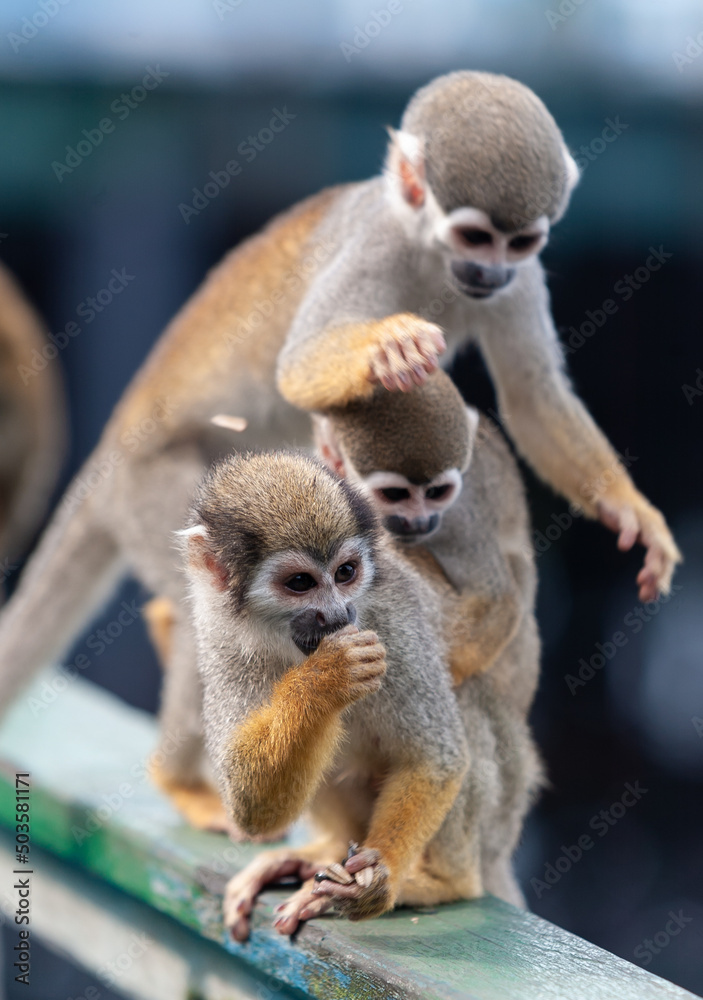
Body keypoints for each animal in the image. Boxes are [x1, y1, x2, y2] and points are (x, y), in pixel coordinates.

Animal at [0, 70, 678, 820]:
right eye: (474, 235)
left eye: (517, 242)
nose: (491, 272)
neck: (427, 248)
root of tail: (116, 441)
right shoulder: (374, 244)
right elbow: (297, 364)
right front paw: (388, 343)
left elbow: (532, 396)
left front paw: (628, 510)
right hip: (151, 488)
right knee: (202, 600)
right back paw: (180, 772)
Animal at [182, 450, 541, 939]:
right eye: (300, 582)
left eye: (346, 573)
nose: (337, 614)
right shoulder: (219, 633)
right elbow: (251, 806)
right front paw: (325, 679)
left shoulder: (391, 618)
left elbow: (435, 759)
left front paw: (379, 883)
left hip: (504, 805)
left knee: (463, 702)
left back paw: (446, 881)